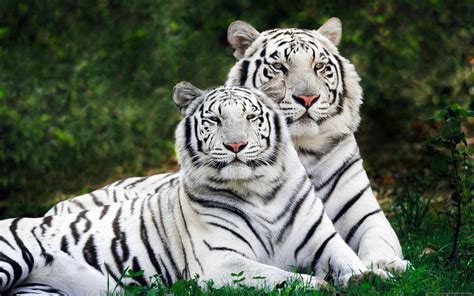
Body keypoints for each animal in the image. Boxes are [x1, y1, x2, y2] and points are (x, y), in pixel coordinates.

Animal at [0, 82, 388, 294]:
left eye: (251, 117)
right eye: (214, 120)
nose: (236, 145)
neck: (260, 191)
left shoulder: (324, 242)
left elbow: (351, 262)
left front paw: (374, 276)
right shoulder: (221, 261)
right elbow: (282, 276)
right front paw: (320, 285)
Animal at [47, 17, 412, 274]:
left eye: (320, 66)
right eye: (279, 67)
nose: (307, 98)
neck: (302, 150)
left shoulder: (366, 215)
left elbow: (379, 240)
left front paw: (388, 265)